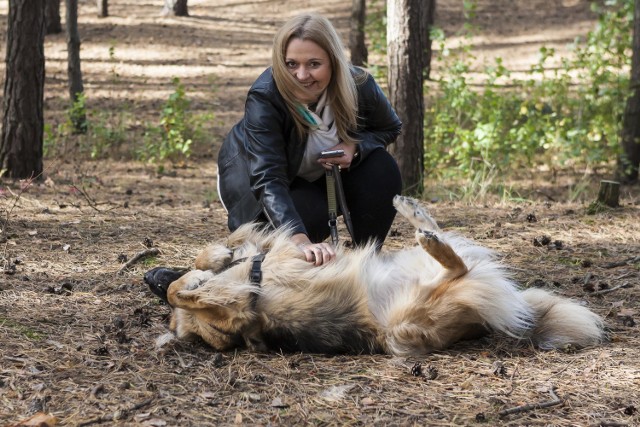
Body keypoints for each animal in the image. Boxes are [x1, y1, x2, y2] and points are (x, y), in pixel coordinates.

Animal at [151, 196, 604, 356]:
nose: (148, 277)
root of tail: (477, 327)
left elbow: (197, 270)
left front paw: (212, 258)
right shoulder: (237, 318)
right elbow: (180, 292)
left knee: (452, 253)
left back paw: (412, 210)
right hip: (409, 319)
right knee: (458, 266)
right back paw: (426, 232)